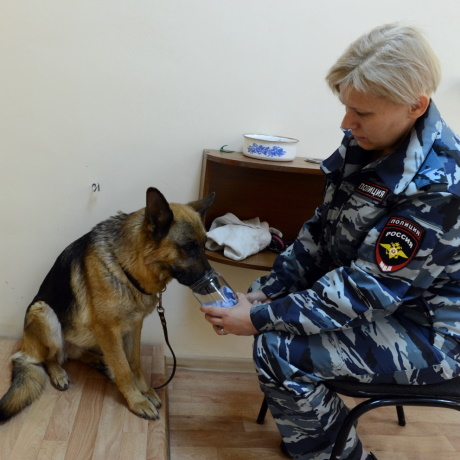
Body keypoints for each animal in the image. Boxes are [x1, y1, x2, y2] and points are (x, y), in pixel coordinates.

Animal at [0, 187, 214, 421]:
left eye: (204, 246)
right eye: (189, 247)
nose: (212, 282)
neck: (126, 267)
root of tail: (25, 349)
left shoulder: (134, 326)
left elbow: (135, 363)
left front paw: (145, 390)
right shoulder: (108, 331)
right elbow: (123, 369)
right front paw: (137, 400)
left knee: (74, 353)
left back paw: (96, 360)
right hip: (43, 312)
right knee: (49, 358)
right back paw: (58, 373)